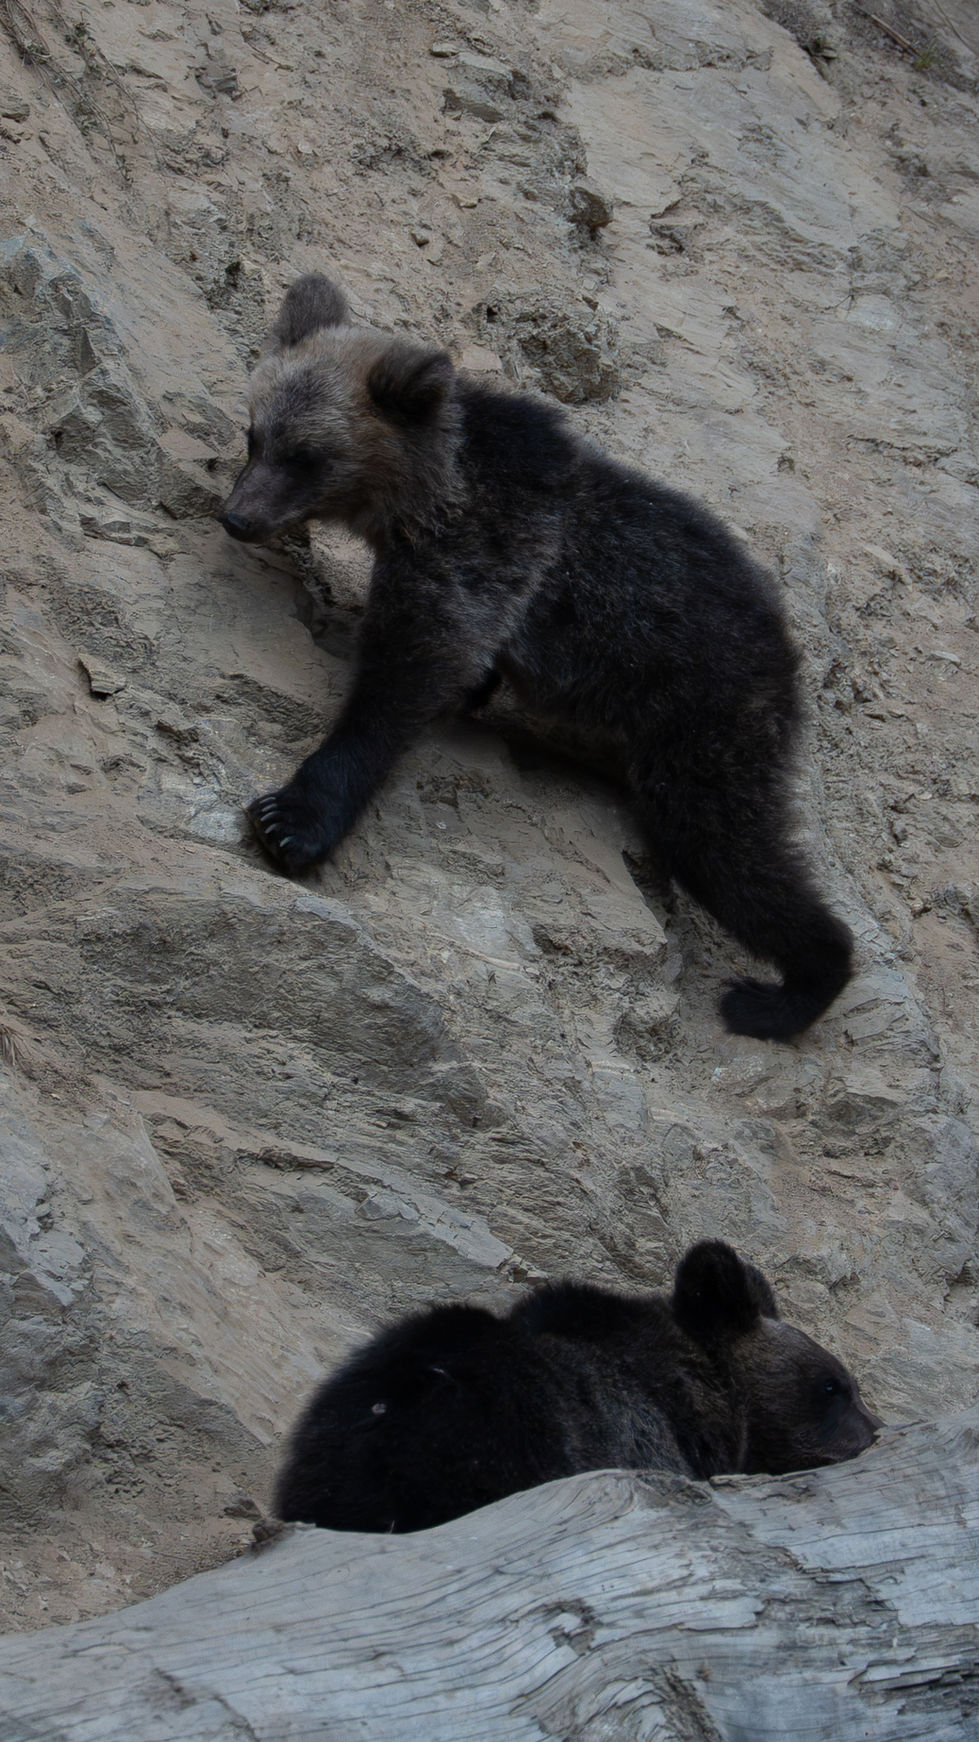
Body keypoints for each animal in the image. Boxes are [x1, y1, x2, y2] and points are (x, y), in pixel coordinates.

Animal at [220, 274, 854, 1041]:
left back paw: (784, 993)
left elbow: (408, 676)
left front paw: (292, 818)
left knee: (726, 845)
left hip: (706, 722)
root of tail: (788, 656)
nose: (237, 516)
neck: (420, 494)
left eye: (306, 455)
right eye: (253, 434)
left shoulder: (480, 554)